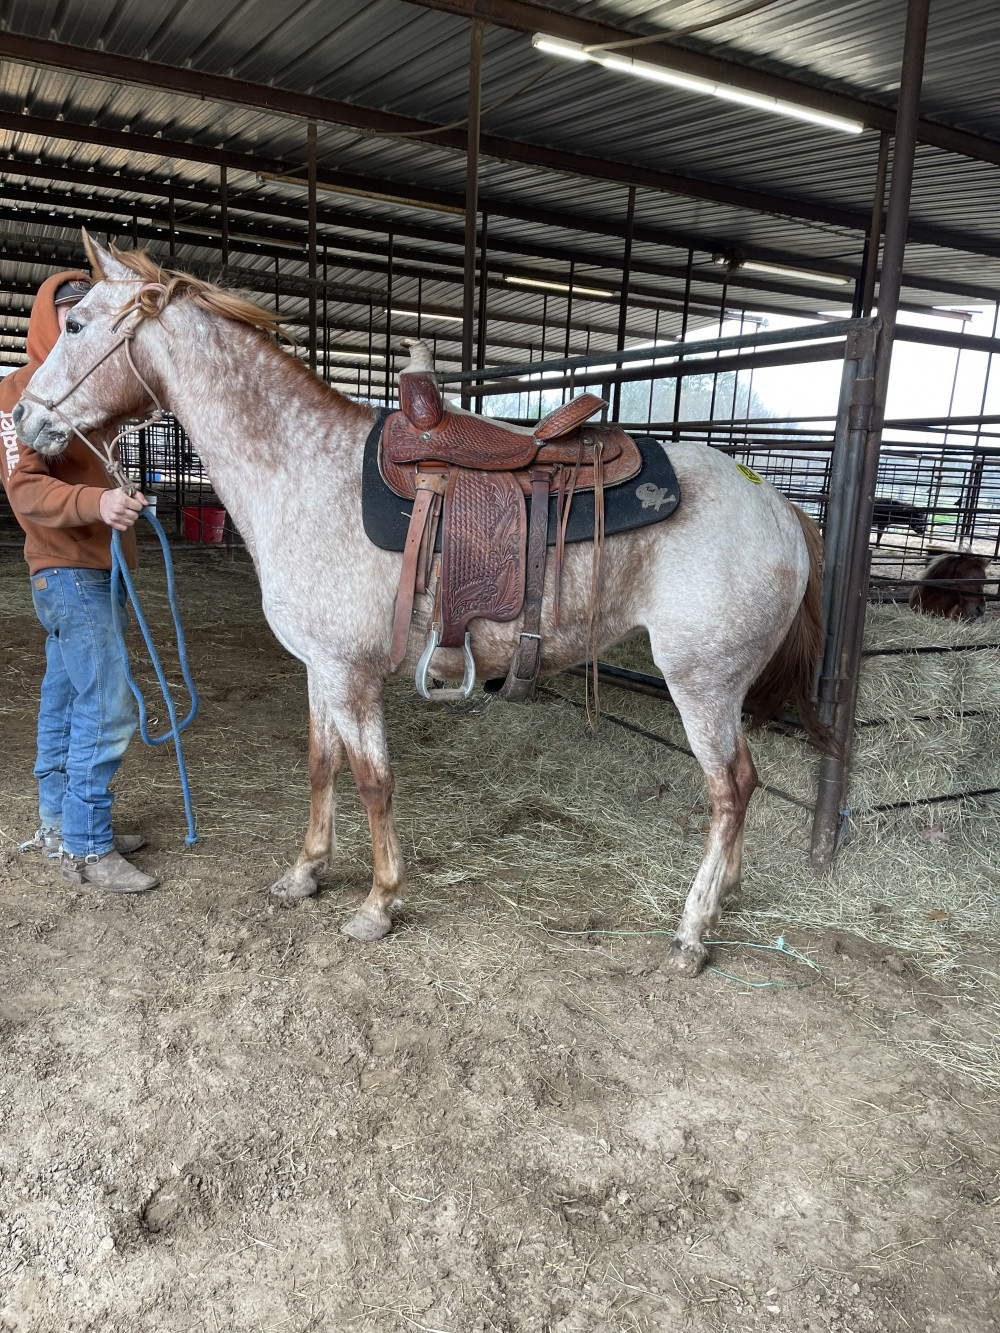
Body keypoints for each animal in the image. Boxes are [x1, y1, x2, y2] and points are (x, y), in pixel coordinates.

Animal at [13, 235, 830, 978]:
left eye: (77, 324)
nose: (22, 419)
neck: (304, 469)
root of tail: (781, 506)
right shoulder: (322, 668)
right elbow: (321, 765)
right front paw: (305, 872)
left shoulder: (351, 674)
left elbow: (374, 783)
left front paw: (378, 903)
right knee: (744, 789)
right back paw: (726, 893)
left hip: (702, 682)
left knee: (729, 790)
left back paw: (692, 932)